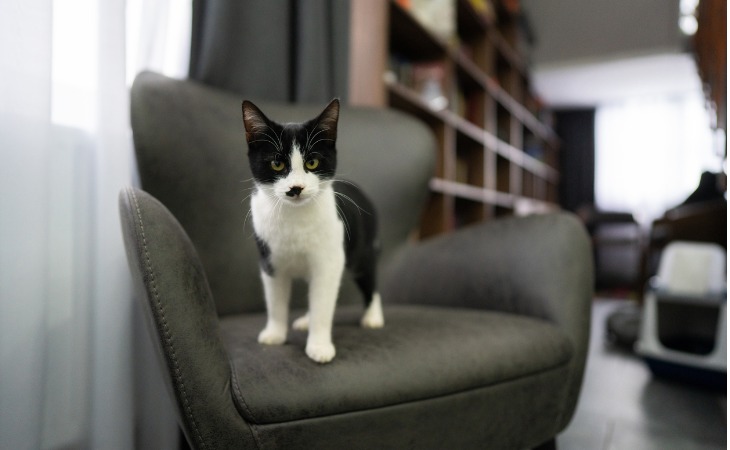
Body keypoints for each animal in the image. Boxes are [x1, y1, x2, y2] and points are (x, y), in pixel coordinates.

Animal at [242, 99, 384, 366]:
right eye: (277, 163)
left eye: (312, 163)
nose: (296, 188)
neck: (295, 218)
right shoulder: (269, 259)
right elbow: (276, 300)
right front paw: (275, 334)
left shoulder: (329, 260)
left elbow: (323, 304)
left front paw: (319, 347)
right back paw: (305, 321)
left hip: (362, 248)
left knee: (368, 278)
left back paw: (373, 316)